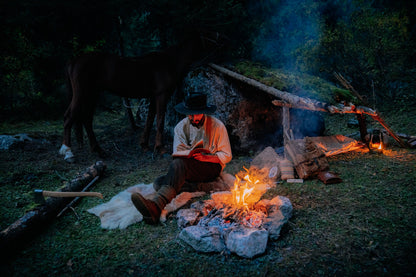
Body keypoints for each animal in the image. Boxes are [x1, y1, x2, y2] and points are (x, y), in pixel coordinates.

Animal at [58, 30, 224, 161]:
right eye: (207, 34)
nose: (220, 36)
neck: (170, 61)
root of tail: (74, 60)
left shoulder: (153, 97)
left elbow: (150, 120)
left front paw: (144, 145)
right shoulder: (161, 95)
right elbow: (159, 121)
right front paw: (160, 148)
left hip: (92, 95)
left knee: (86, 119)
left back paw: (99, 151)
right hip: (82, 94)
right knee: (69, 117)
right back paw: (68, 152)